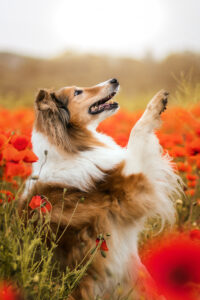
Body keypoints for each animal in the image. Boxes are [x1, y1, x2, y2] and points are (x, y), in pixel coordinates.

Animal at [19, 78, 180, 298]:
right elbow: (136, 132)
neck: (72, 150)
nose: (114, 79)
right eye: (77, 92)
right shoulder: (131, 187)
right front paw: (156, 104)